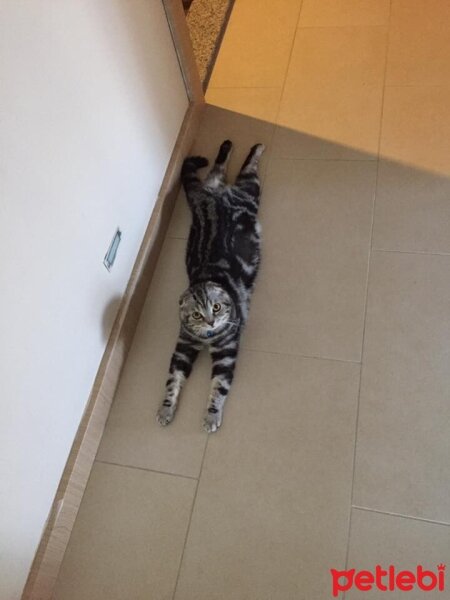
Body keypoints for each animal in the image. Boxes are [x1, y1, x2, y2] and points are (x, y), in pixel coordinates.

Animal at [157, 139, 264, 432]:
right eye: (196, 314)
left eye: (216, 307)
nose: (211, 321)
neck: (207, 339)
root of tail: (206, 199)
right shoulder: (183, 347)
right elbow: (172, 382)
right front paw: (166, 409)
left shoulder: (227, 352)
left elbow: (218, 388)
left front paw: (211, 416)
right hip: (226, 185)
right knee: (218, 169)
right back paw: (226, 146)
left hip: (250, 192)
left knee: (247, 169)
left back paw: (256, 147)